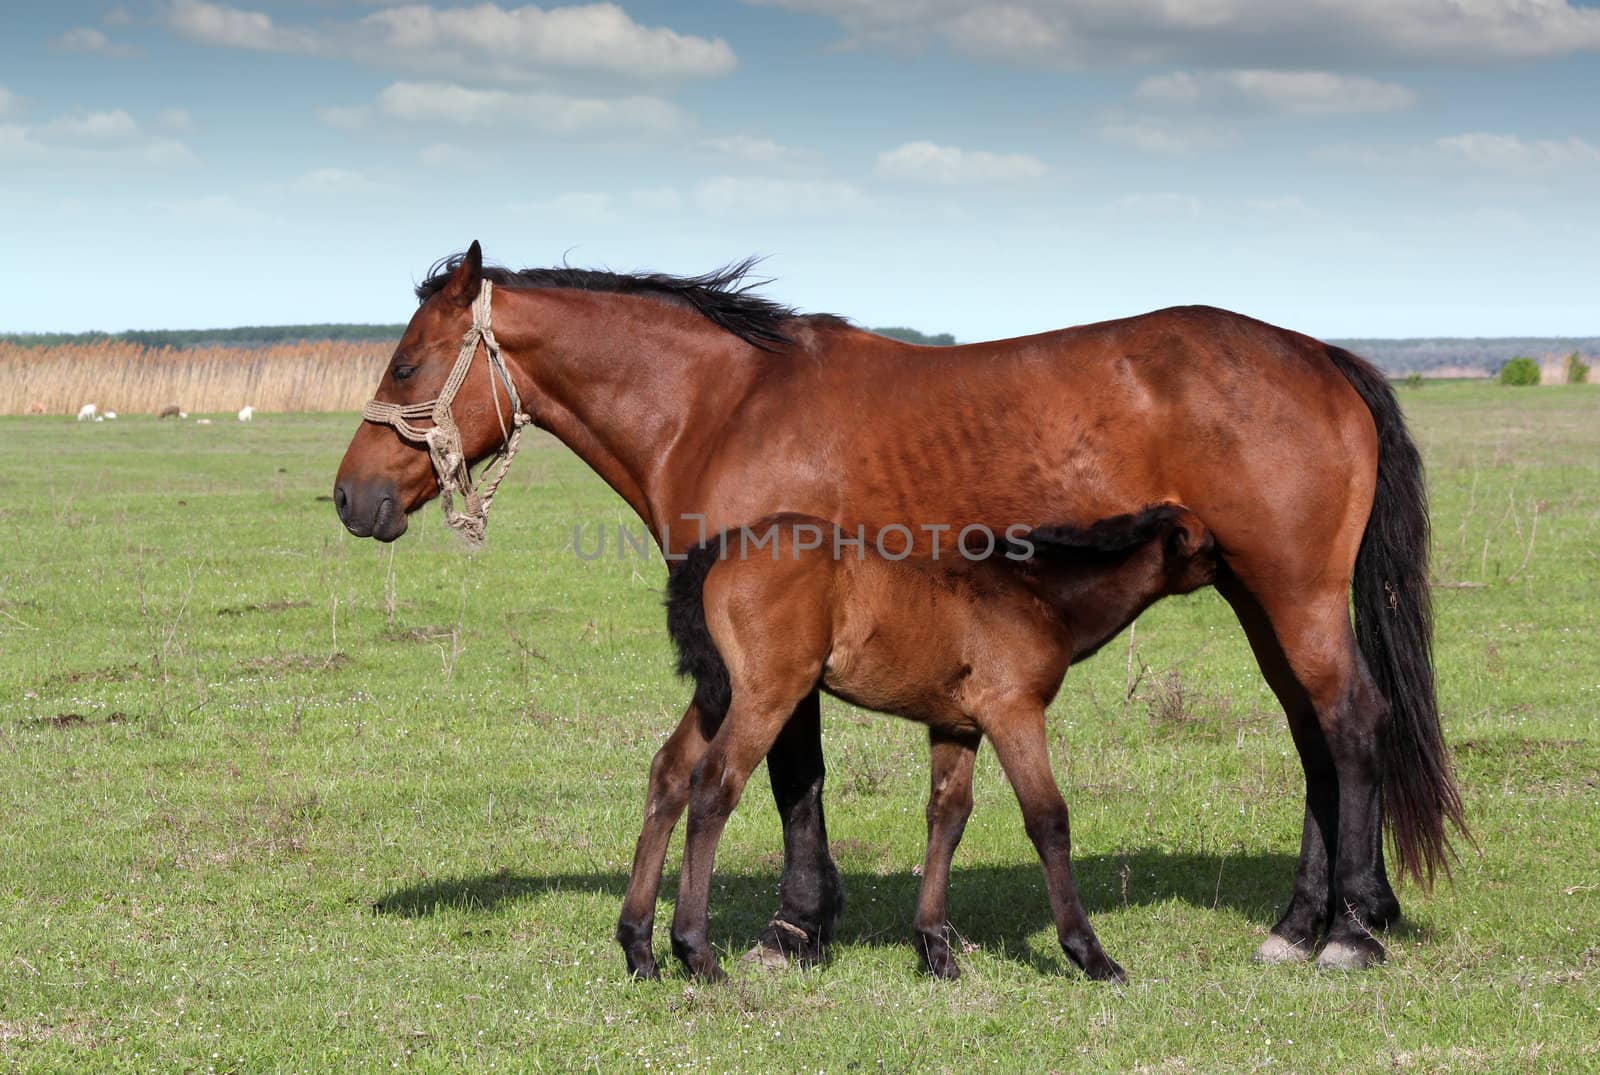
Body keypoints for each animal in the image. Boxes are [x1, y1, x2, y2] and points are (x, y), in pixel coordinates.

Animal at [656, 505, 1216, 985]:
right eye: (1211, 547)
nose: (1231, 571)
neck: (1037, 593)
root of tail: (722, 547)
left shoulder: (957, 727)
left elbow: (948, 816)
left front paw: (935, 952)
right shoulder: (1013, 711)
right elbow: (1047, 817)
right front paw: (1090, 955)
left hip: (718, 694)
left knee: (668, 773)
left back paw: (642, 951)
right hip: (768, 694)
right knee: (714, 783)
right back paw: (695, 952)